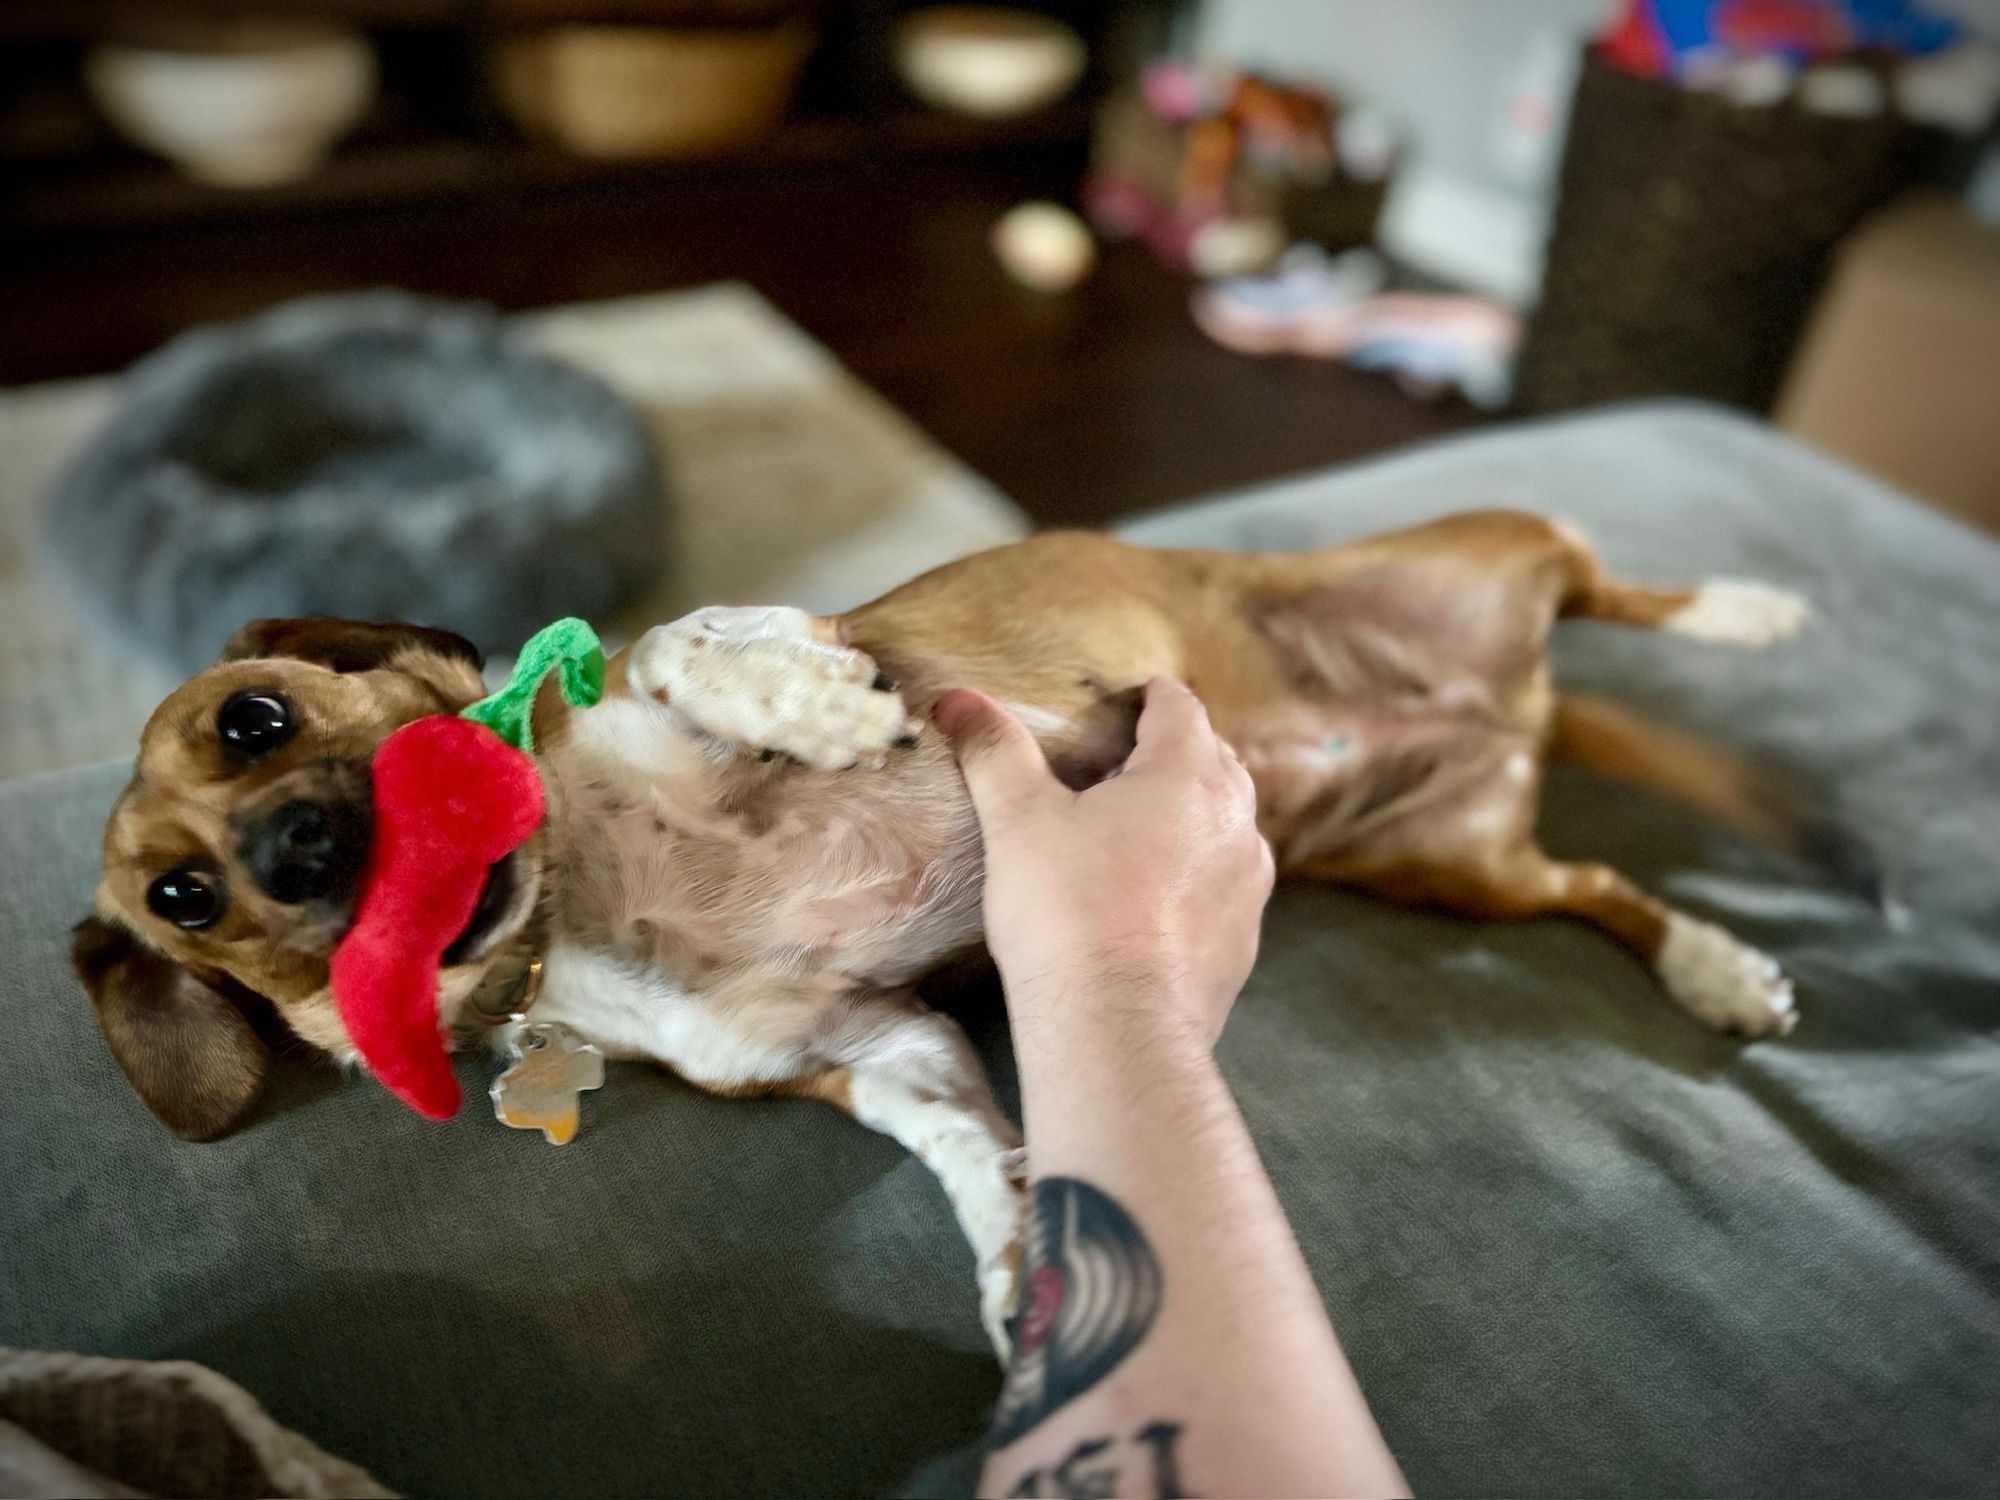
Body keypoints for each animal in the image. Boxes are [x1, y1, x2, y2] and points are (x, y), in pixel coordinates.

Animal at [74, 512, 1816, 1360]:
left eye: (252, 716)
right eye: (183, 902)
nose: (302, 848)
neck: (593, 886)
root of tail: (1516, 708)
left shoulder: (812, 645)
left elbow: (697, 643)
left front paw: (809, 713)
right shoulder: (880, 1048)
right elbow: (976, 1155)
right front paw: (1025, 1269)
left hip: (1476, 551)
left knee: (1606, 572)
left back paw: (1755, 610)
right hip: (1455, 866)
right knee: (1596, 887)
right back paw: (1714, 964)